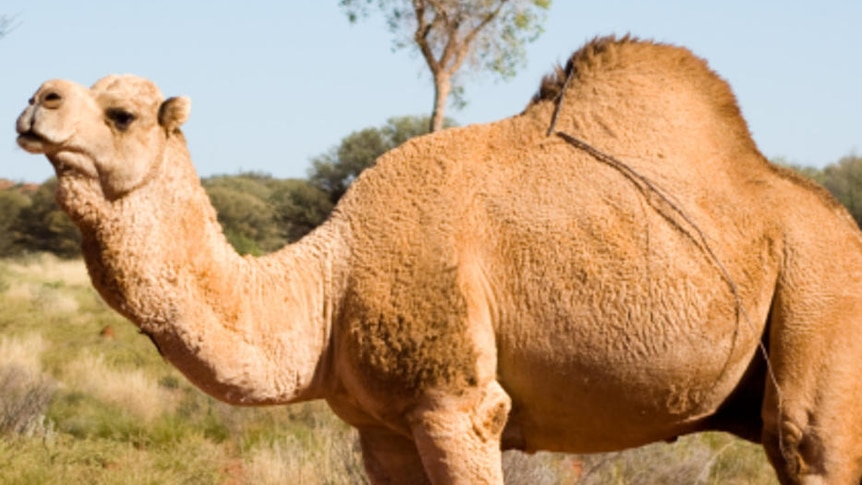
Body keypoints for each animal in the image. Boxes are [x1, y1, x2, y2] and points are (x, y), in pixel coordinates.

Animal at [11, 36, 862, 482]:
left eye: (121, 113)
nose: (35, 100)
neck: (330, 284)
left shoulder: (457, 401)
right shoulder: (380, 428)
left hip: (820, 305)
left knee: (810, 440)